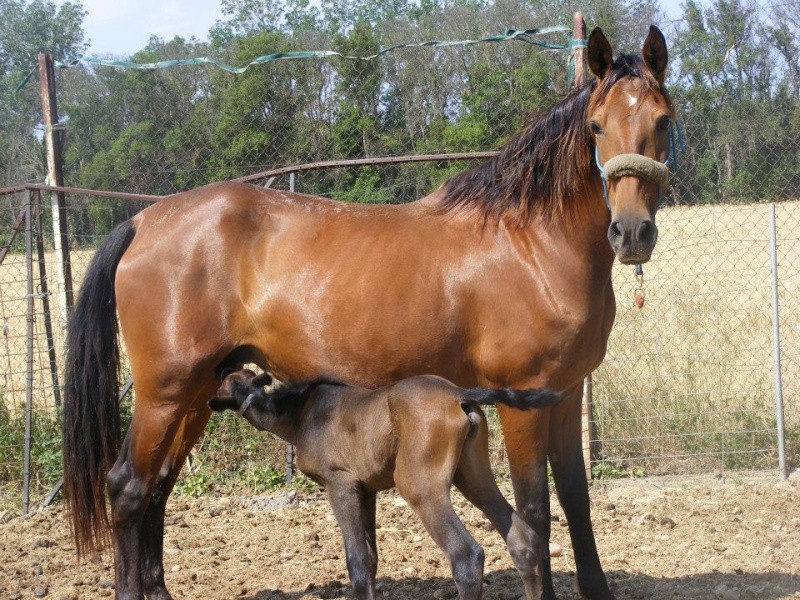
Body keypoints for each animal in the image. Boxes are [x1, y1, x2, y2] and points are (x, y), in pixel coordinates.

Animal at [212, 370, 564, 600]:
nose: (211, 403)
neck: (300, 415)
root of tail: (460, 394)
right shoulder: (366, 490)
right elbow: (370, 560)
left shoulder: (340, 484)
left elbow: (356, 562)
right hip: (473, 476)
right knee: (522, 540)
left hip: (418, 485)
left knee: (466, 556)